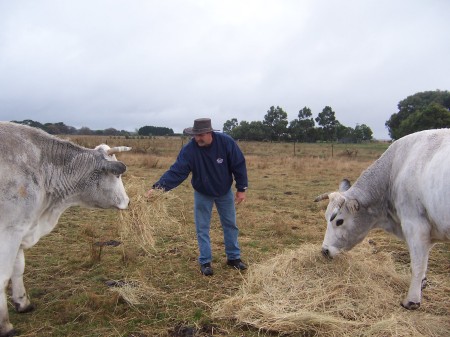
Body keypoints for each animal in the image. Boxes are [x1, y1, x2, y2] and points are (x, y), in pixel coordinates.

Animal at [0, 121, 131, 336]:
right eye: (117, 175)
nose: (128, 201)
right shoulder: (9, 232)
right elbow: (3, 277)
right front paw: (5, 326)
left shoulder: (20, 228)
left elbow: (18, 269)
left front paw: (22, 302)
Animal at [314, 128, 450, 310]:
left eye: (339, 221)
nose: (325, 251)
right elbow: (423, 263)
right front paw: (421, 285)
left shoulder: (415, 225)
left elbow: (417, 264)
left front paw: (412, 300)